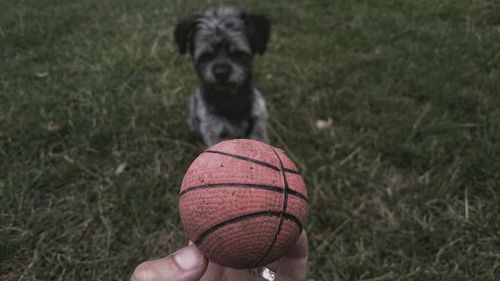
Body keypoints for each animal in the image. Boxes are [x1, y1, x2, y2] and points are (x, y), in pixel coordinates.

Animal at [175, 7, 272, 145]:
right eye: (206, 55)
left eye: (237, 53)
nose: (221, 73)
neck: (230, 101)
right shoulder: (214, 132)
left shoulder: (257, 125)